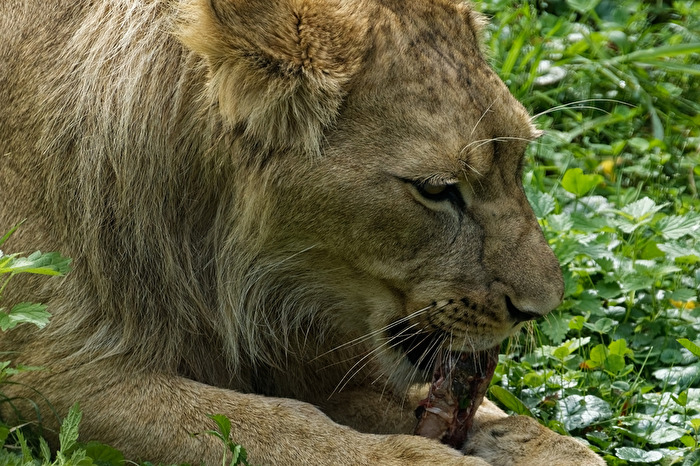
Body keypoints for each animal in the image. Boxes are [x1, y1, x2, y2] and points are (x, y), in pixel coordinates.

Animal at [0, 0, 605, 464]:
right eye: (435, 190)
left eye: (521, 162)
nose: (540, 308)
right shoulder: (50, 373)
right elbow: (278, 429)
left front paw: (550, 446)